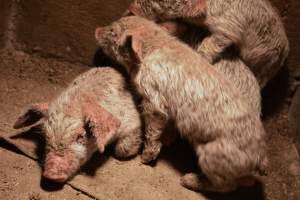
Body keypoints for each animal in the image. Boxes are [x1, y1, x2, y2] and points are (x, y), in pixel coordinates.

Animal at [94, 16, 268, 192]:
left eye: (113, 32)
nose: (97, 29)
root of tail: (261, 159)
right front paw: (166, 141)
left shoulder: (154, 97)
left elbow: (153, 127)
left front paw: (144, 159)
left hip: (214, 156)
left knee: (227, 186)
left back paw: (187, 180)